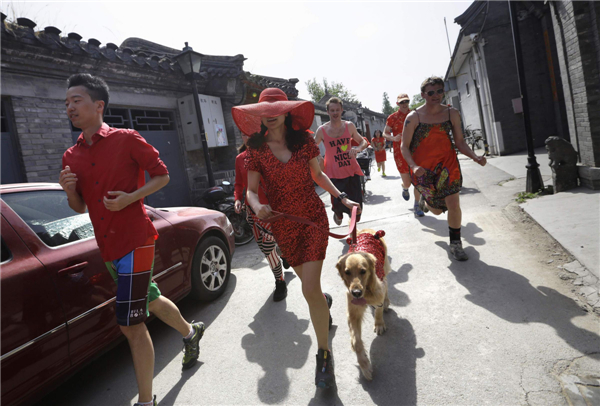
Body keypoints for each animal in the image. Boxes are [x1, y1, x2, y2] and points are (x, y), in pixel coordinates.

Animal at [336, 228, 392, 380]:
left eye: (363, 271)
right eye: (347, 272)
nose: (356, 292)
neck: (366, 290)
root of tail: (367, 230)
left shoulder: (378, 293)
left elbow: (378, 310)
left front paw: (379, 324)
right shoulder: (353, 313)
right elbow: (356, 342)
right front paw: (365, 365)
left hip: (385, 266)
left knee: (387, 283)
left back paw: (386, 301)